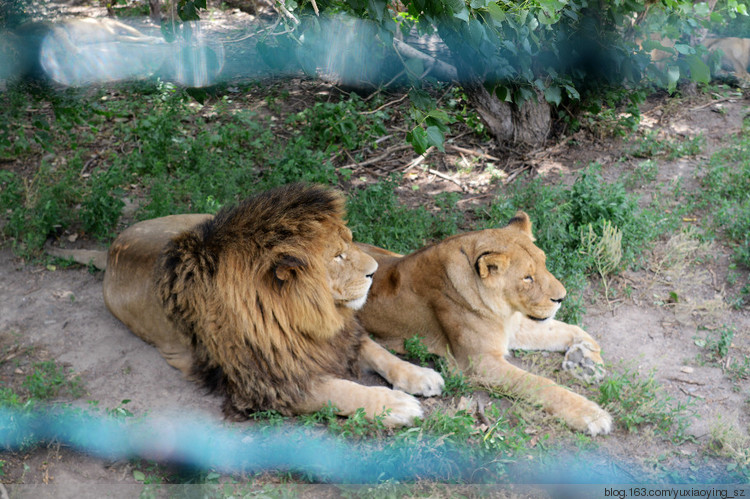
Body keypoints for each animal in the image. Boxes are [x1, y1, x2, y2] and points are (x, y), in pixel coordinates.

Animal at [50, 186, 446, 428]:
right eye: (337, 256)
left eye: (350, 242)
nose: (374, 271)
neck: (304, 315)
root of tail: (113, 246)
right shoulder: (269, 381)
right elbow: (344, 390)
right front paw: (396, 405)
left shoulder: (334, 337)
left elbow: (379, 352)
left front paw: (420, 375)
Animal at [356, 213, 612, 436]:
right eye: (527, 278)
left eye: (544, 264)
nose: (562, 298)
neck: (503, 308)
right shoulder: (479, 363)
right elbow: (537, 383)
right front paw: (591, 415)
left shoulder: (512, 327)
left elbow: (572, 329)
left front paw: (586, 362)